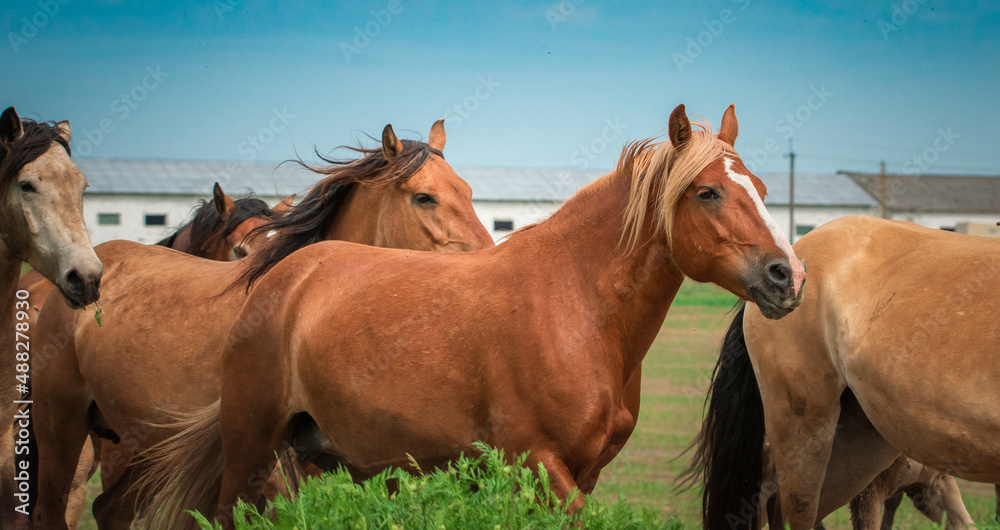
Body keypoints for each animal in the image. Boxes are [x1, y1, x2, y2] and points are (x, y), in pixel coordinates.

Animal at [29, 120, 494, 529]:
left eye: (469, 191)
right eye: (425, 197)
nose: (485, 259)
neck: (308, 296)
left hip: (142, 447)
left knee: (110, 510)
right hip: (63, 430)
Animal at [132, 104, 808, 529]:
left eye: (762, 190)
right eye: (708, 192)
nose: (789, 276)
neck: (576, 307)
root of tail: (285, 278)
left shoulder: (582, 473)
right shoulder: (538, 465)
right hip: (251, 448)